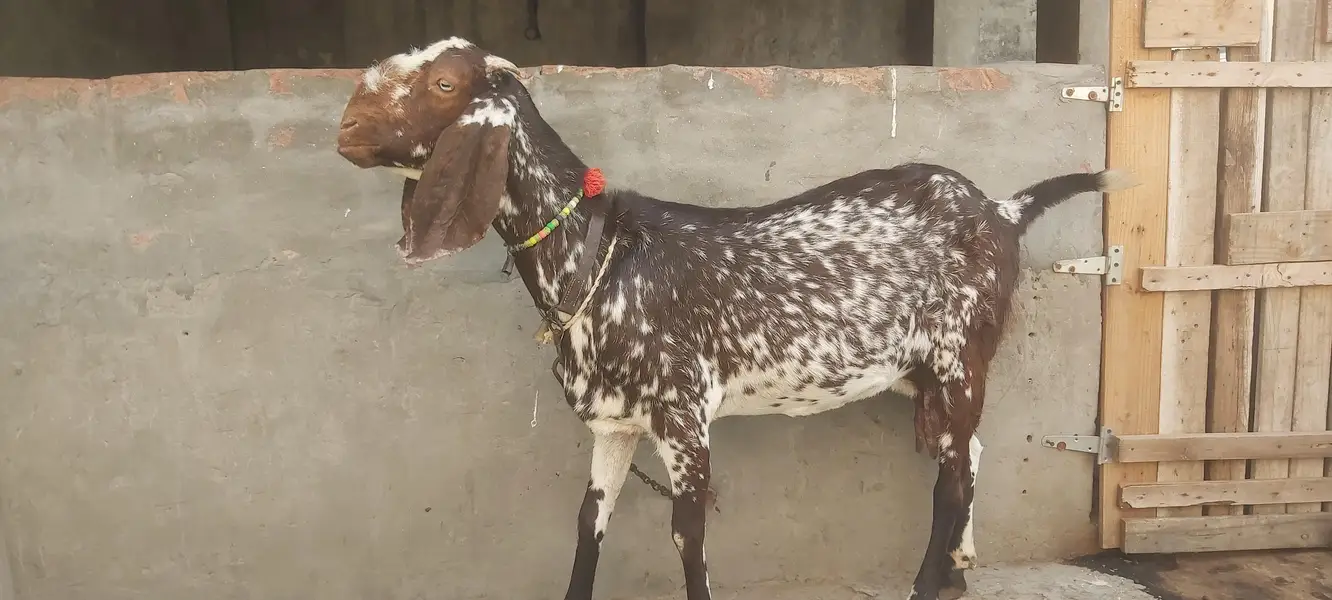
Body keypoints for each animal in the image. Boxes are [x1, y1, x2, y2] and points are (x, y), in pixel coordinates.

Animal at [334, 37, 1133, 600]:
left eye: (444, 83)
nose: (346, 126)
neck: (600, 254)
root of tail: (1001, 208)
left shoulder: (685, 419)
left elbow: (687, 539)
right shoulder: (615, 425)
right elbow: (590, 526)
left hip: (958, 356)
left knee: (953, 481)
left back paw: (925, 586)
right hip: (925, 377)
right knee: (963, 455)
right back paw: (959, 569)